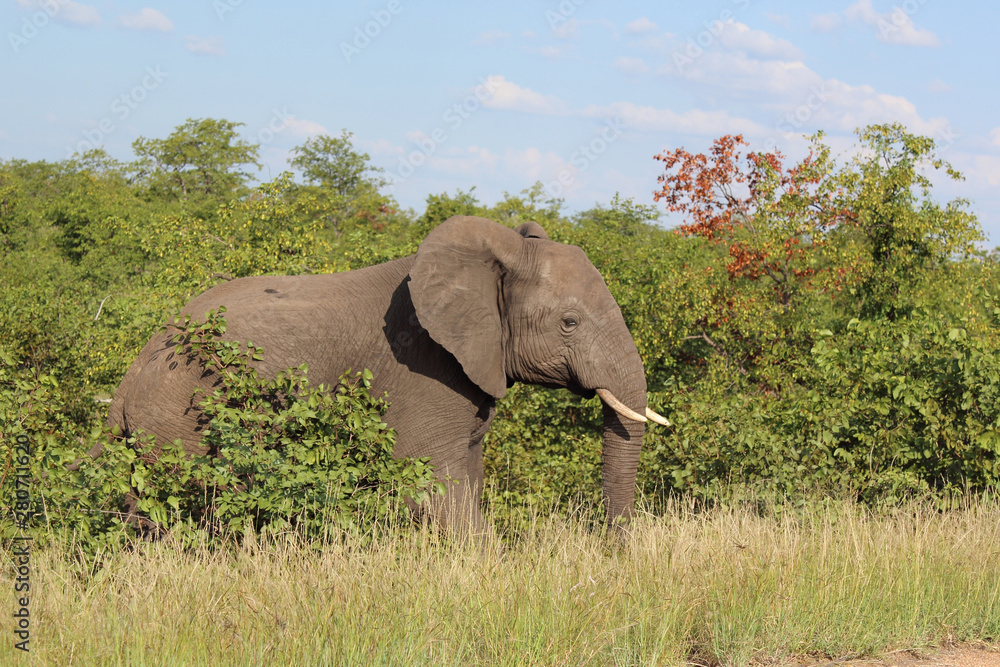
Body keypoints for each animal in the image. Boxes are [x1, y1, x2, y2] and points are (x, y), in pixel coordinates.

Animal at [81, 215, 668, 533]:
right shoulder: (425, 368)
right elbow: (435, 486)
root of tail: (131, 375)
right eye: (569, 323)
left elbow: (467, 474)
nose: (614, 551)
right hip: (180, 414)